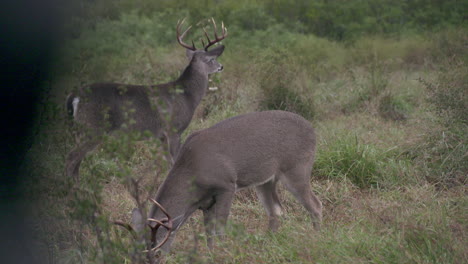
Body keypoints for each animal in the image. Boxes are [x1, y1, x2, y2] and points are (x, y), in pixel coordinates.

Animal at [64, 18, 229, 179]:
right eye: (211, 59)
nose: (221, 67)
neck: (188, 96)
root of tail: (74, 96)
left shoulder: (161, 136)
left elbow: (169, 163)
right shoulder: (174, 129)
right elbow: (175, 161)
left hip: (80, 129)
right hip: (92, 128)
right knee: (71, 157)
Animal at [133, 110, 322, 253]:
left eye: (156, 251)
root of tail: (312, 130)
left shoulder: (227, 185)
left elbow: (220, 227)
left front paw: (222, 252)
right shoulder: (206, 203)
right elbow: (209, 232)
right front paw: (211, 254)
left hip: (297, 168)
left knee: (315, 204)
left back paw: (316, 238)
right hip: (265, 181)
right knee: (276, 210)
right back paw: (268, 244)